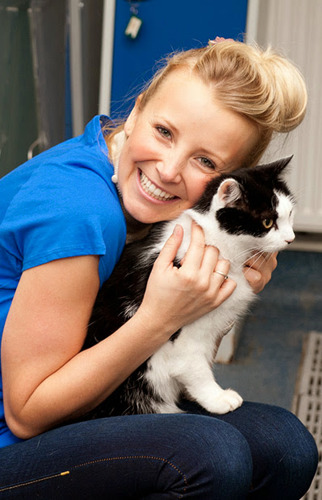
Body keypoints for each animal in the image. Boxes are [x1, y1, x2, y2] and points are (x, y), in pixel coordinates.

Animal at [84, 156, 296, 418]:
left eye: (290, 213)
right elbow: (194, 366)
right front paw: (217, 398)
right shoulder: (184, 335)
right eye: (267, 222)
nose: (291, 238)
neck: (218, 245)